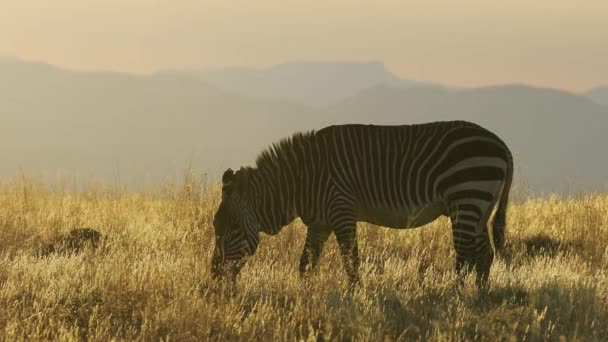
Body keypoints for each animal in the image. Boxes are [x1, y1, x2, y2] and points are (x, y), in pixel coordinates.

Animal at [213, 120, 512, 288]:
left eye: (232, 228)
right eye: (217, 228)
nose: (214, 274)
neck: (301, 179)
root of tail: (501, 144)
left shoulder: (341, 212)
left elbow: (351, 261)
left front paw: (353, 296)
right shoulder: (319, 224)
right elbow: (306, 264)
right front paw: (305, 298)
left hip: (467, 197)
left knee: (465, 258)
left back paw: (454, 298)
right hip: (479, 206)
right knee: (484, 255)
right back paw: (478, 299)